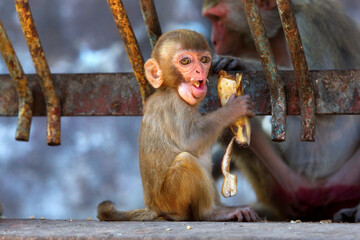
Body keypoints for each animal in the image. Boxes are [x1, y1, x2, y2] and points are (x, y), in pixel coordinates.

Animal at [97, 28, 258, 221]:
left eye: (204, 60)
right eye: (186, 61)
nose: (199, 71)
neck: (171, 89)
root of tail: (154, 208)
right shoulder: (174, 106)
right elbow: (190, 142)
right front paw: (234, 109)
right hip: (171, 200)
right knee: (186, 160)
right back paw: (213, 213)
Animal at [204, 0, 360, 222]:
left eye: (217, 19)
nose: (214, 41)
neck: (278, 34)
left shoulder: (308, 26)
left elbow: (322, 98)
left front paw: (239, 63)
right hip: (279, 185)